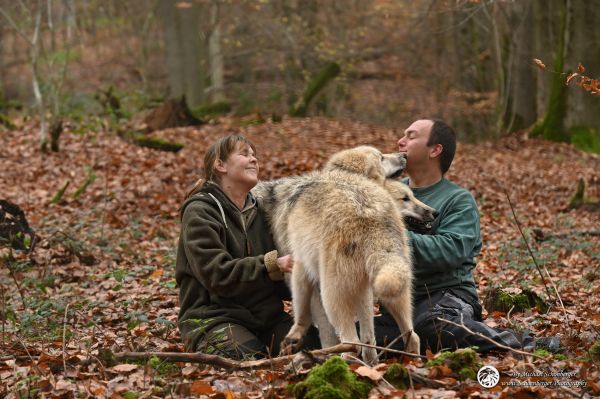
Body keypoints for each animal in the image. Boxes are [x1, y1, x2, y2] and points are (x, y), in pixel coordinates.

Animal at [253, 146, 432, 362]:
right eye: (381, 157)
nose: (404, 154)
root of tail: (371, 213)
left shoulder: (302, 274)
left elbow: (312, 322)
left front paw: (299, 339)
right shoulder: (363, 292)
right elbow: (368, 336)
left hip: (332, 296)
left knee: (351, 343)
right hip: (394, 288)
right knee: (406, 336)